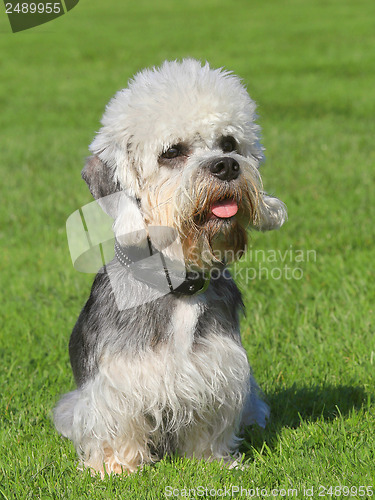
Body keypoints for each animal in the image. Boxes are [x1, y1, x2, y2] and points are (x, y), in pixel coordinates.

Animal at [53, 59, 288, 476]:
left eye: (229, 143)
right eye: (172, 152)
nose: (226, 166)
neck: (179, 288)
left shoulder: (219, 370)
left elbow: (209, 427)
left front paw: (212, 462)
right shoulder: (115, 381)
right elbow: (117, 427)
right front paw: (115, 469)